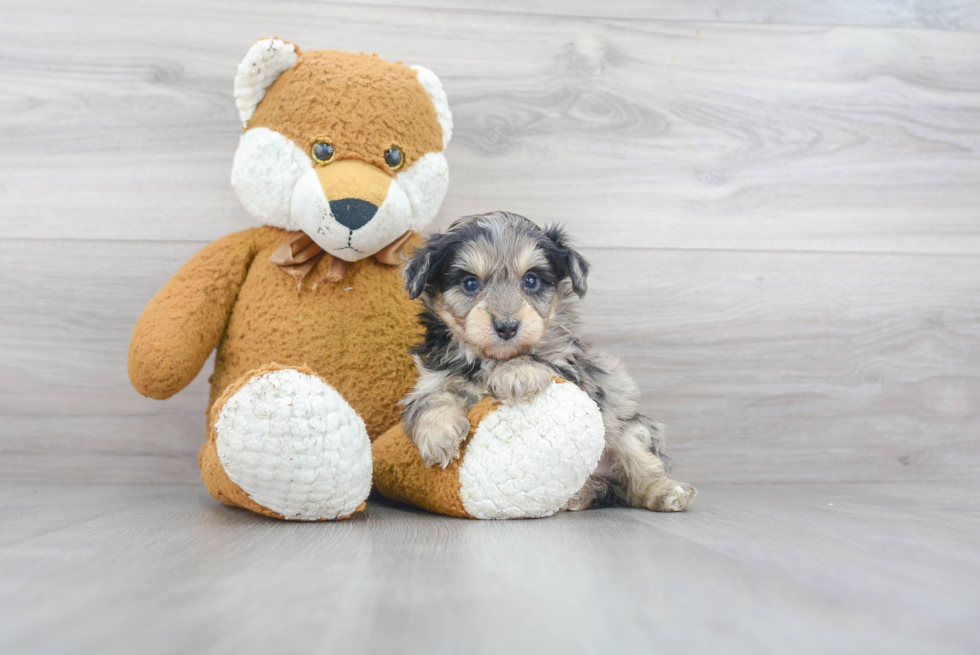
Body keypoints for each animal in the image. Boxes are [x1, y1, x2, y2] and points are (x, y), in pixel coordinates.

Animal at [400, 211, 696, 512]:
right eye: (470, 283)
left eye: (531, 280)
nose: (507, 327)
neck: (491, 359)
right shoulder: (432, 378)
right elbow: (428, 400)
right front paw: (439, 433)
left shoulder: (574, 373)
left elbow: (538, 359)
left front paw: (516, 372)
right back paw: (581, 494)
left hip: (631, 429)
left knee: (641, 468)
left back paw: (666, 491)